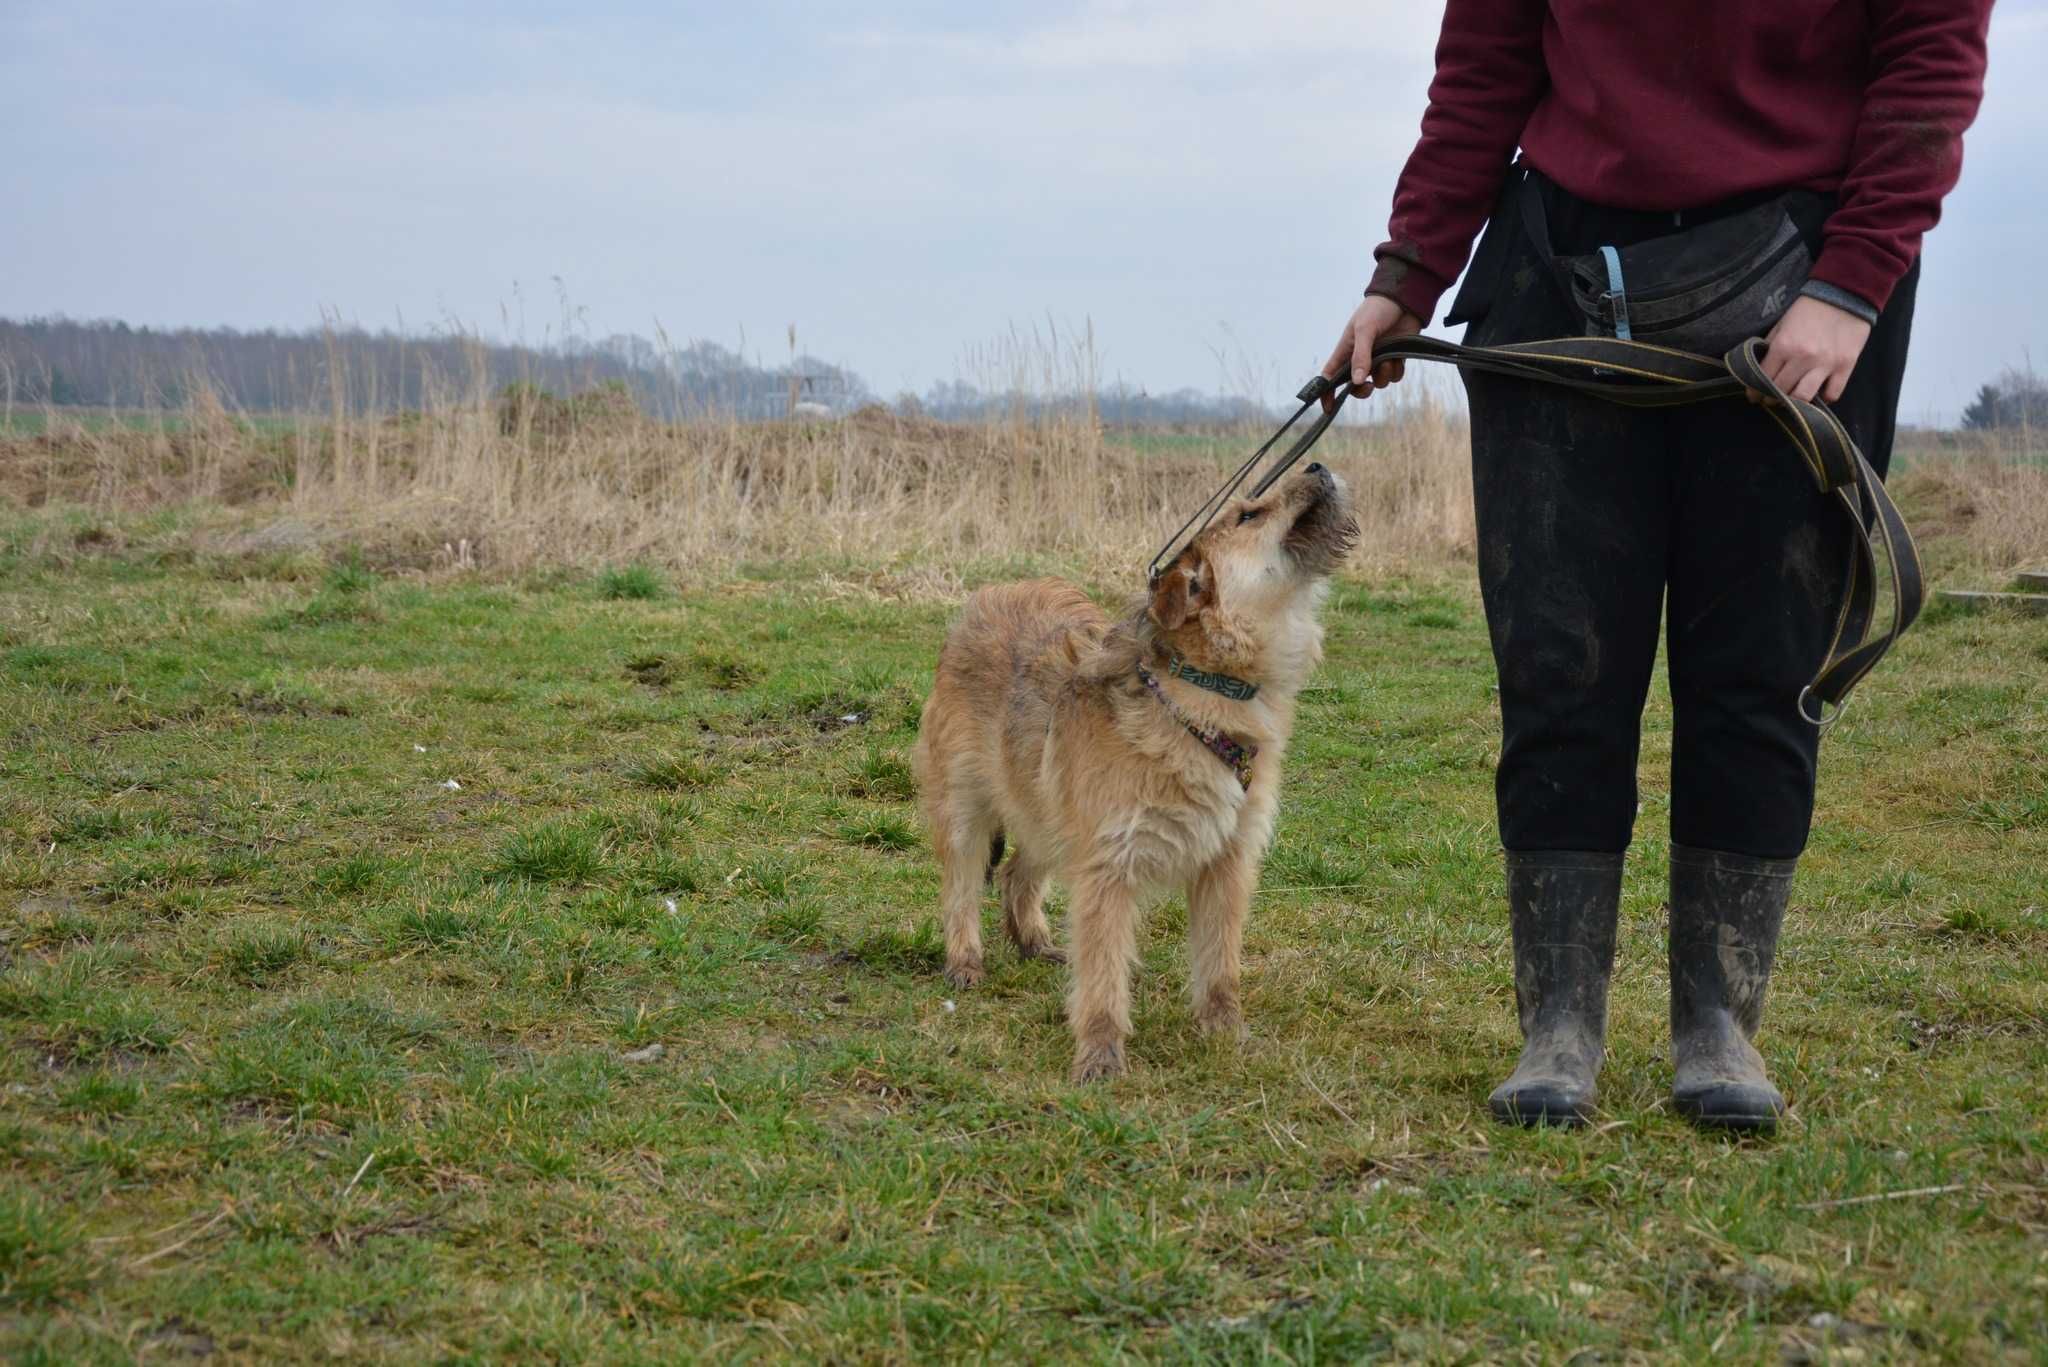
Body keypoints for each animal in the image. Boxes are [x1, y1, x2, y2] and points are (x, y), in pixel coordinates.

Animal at [917, 465, 1359, 1082]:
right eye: (1248, 514)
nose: (1316, 466)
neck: (1202, 691)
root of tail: (987, 595)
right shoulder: (1108, 865)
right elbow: (1103, 974)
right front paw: (1100, 1055)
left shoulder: (1227, 862)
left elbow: (1219, 962)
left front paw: (1225, 1032)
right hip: (966, 805)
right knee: (960, 885)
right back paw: (964, 960)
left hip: (1045, 805)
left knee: (1018, 871)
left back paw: (1033, 941)